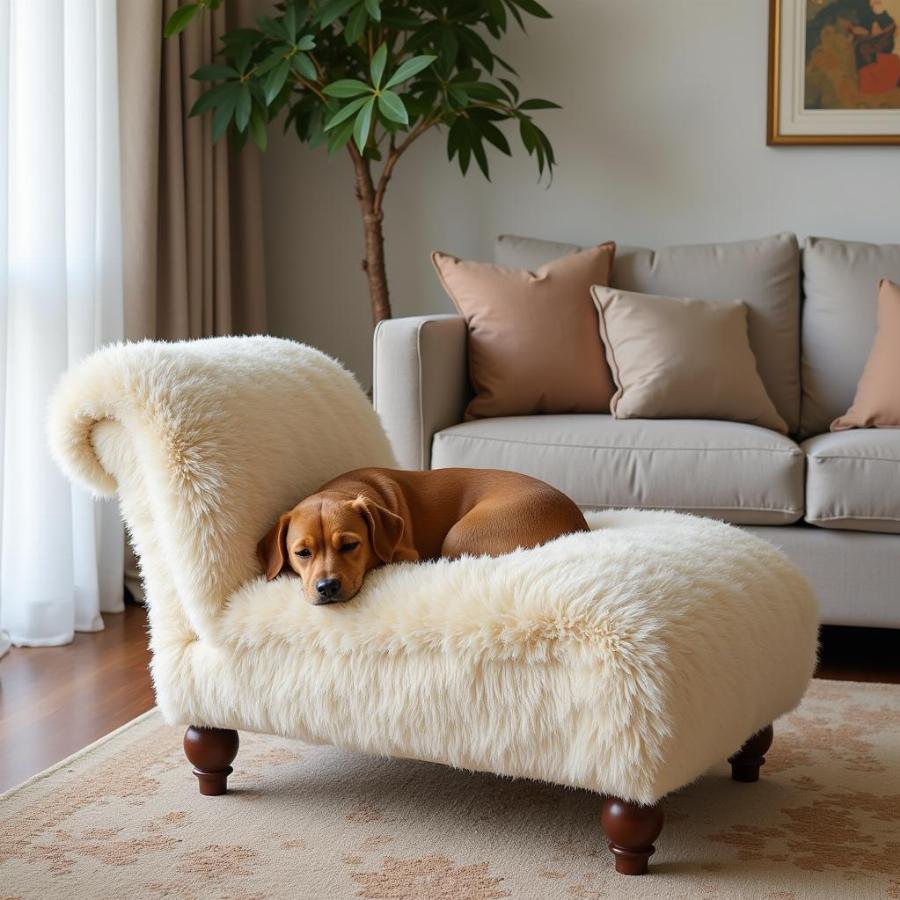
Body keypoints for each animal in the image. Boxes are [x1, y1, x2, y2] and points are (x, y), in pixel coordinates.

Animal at [256, 468, 588, 608]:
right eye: (302, 553)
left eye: (350, 545)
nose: (326, 587)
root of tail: (578, 520)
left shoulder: (405, 553)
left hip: (459, 535)